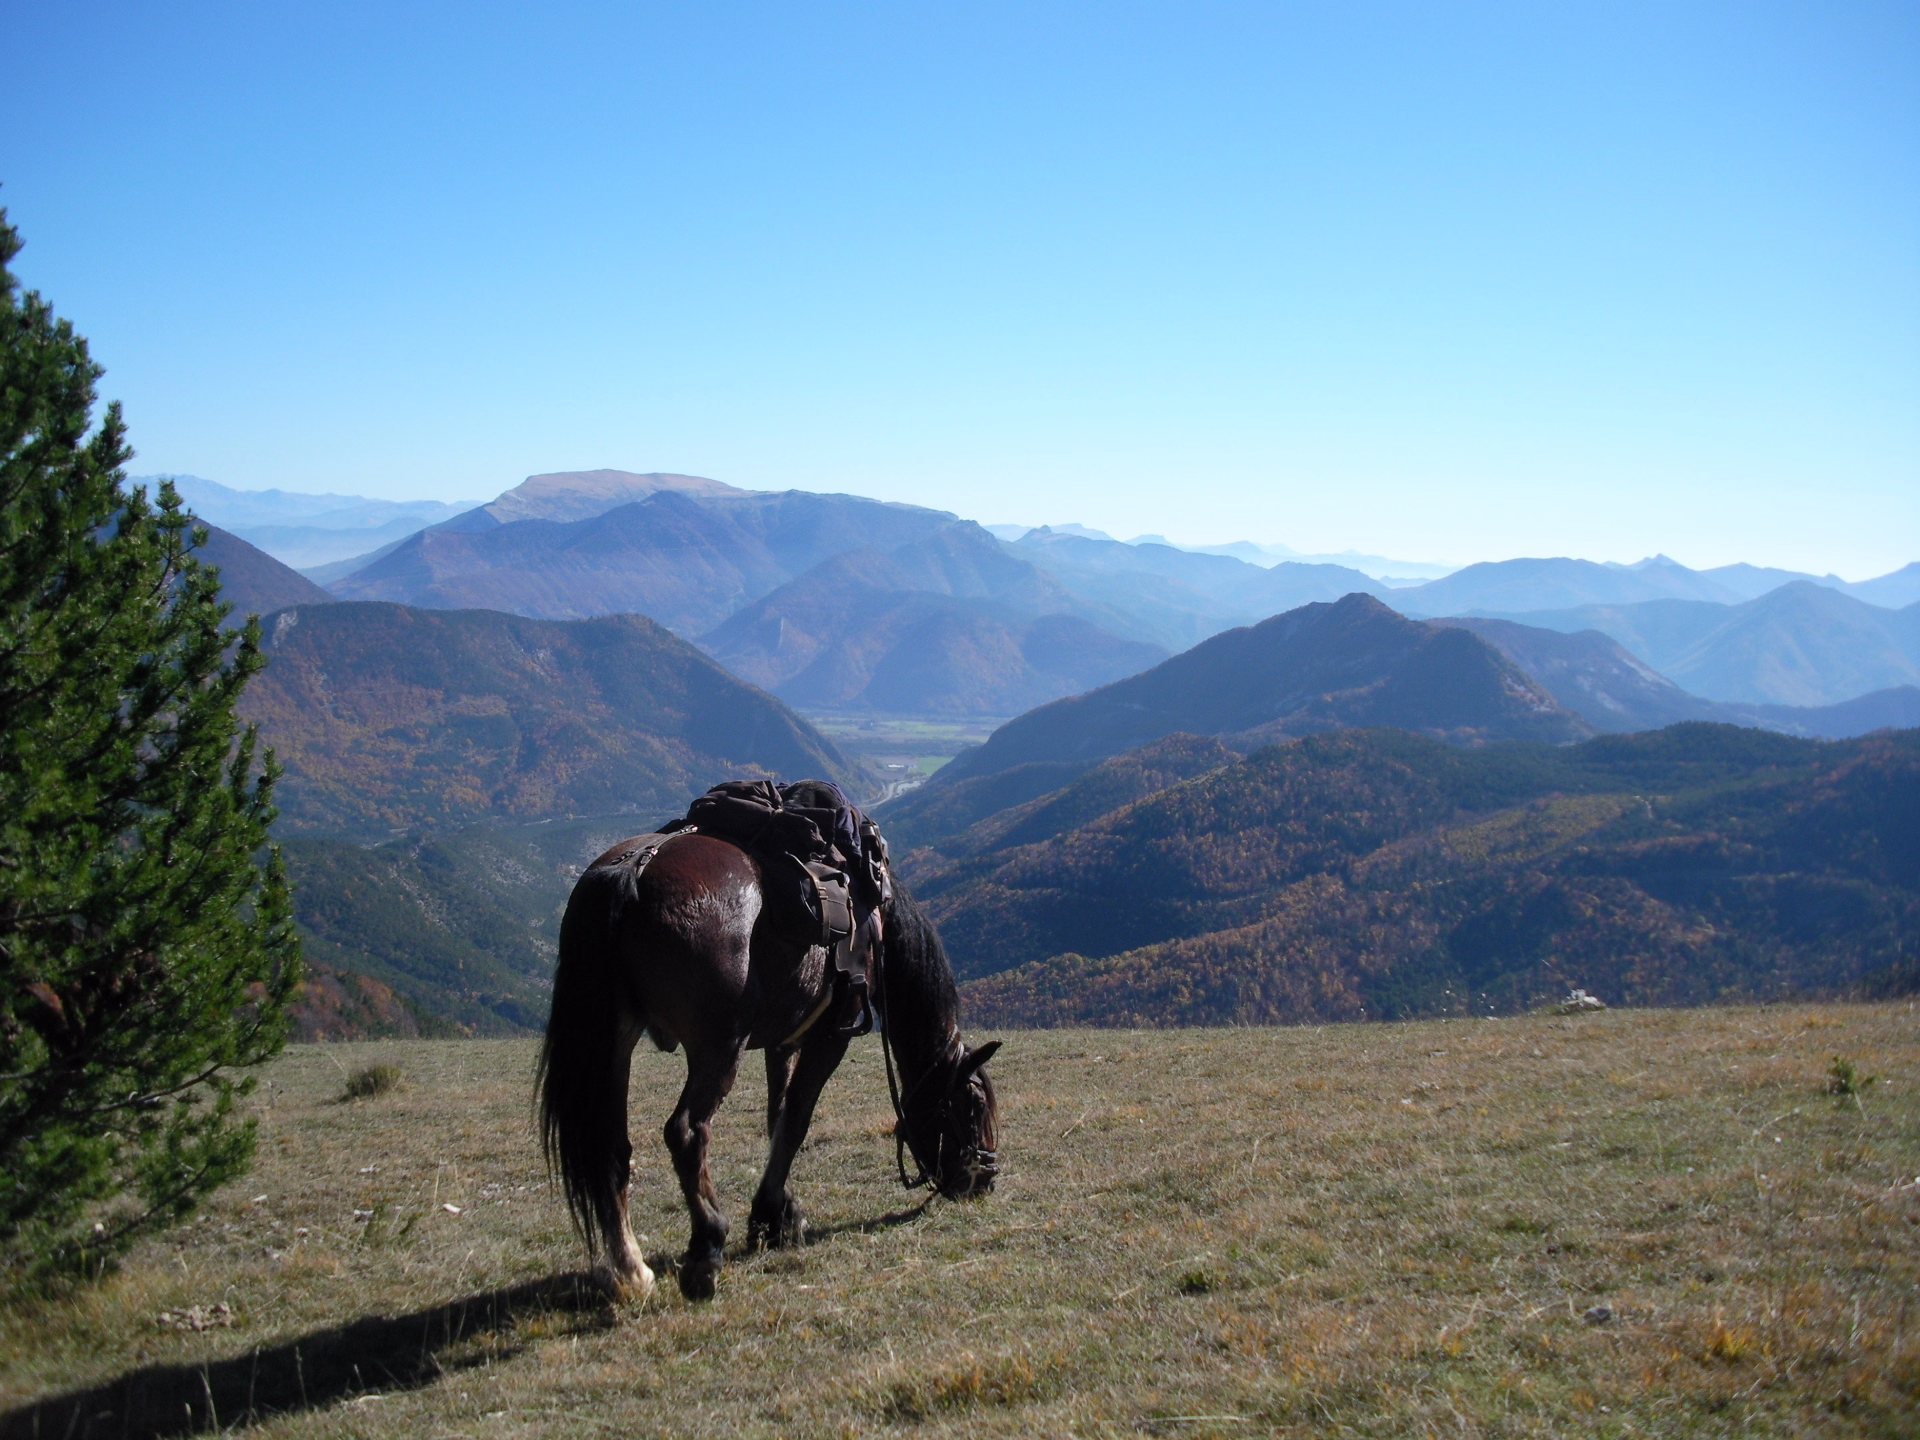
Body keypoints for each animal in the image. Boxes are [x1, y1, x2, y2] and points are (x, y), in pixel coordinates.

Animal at [536, 826, 1001, 1301]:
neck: (875, 921)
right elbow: (797, 1120)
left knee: (611, 1147)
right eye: (974, 1106)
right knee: (686, 1132)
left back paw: (632, 1270)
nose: (984, 1178)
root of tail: (636, 867)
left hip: (616, 1042)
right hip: (719, 1046)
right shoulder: (830, 1037)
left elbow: (776, 1118)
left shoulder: (784, 1041)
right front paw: (768, 1214)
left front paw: (779, 1213)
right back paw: (706, 1249)